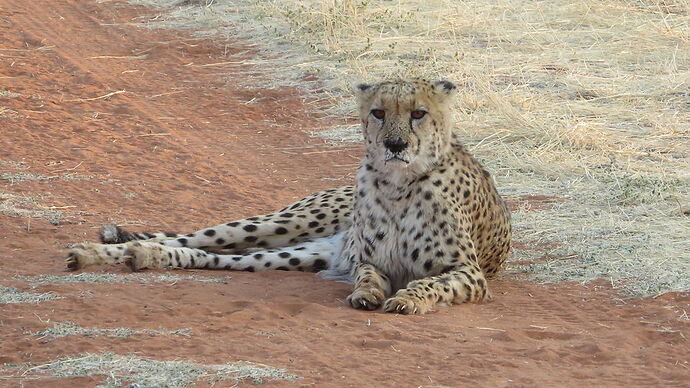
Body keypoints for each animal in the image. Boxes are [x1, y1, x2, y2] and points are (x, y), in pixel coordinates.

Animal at [67, 79, 508, 316]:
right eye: (379, 113)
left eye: (418, 113)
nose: (395, 144)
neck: (400, 183)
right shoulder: (369, 260)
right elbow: (367, 275)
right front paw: (367, 293)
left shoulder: (470, 274)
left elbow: (430, 284)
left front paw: (407, 299)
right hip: (284, 224)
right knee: (194, 238)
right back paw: (100, 250)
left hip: (299, 254)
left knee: (212, 257)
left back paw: (143, 256)